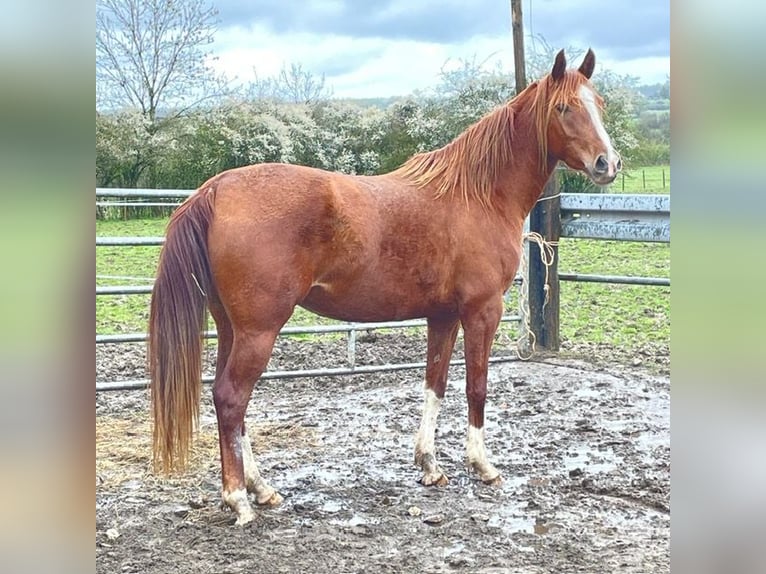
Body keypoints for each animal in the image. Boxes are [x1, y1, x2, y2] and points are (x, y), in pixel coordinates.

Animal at [150, 50, 624, 528]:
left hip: (232, 328)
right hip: (259, 331)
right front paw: (482, 465)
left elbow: (435, 384)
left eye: (599, 104)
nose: (608, 163)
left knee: (228, 400)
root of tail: (217, 188)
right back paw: (239, 500)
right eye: (563, 108)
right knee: (232, 399)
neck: (479, 194)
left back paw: (261, 489)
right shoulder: (482, 310)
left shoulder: (443, 315)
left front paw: (429, 465)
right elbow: (477, 387)